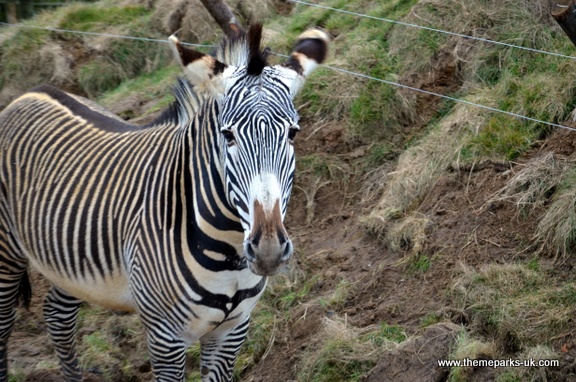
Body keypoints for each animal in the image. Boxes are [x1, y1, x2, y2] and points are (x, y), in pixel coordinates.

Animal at [0, 24, 328, 382]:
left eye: (293, 133)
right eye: (227, 135)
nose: (268, 250)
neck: (228, 252)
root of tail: (29, 93)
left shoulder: (231, 331)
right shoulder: (164, 338)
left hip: (70, 263)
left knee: (57, 315)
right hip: (7, 254)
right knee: (5, 325)